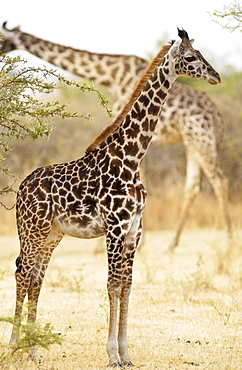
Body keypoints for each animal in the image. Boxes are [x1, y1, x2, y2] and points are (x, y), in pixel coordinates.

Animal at [0, 22, 231, 251]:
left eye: (3, 39)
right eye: (192, 56)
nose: (216, 76)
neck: (110, 75)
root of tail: (217, 115)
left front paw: (112, 245)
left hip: (200, 138)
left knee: (219, 180)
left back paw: (226, 240)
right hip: (191, 141)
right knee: (193, 186)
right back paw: (174, 243)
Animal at [8, 29, 220, 368]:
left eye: (201, 54)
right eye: (190, 57)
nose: (215, 76)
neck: (130, 159)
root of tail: (22, 187)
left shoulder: (134, 230)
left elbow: (127, 286)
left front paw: (126, 353)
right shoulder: (115, 228)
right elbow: (112, 284)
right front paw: (112, 355)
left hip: (52, 234)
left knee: (36, 278)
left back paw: (33, 351)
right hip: (32, 231)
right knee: (22, 273)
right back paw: (14, 346)